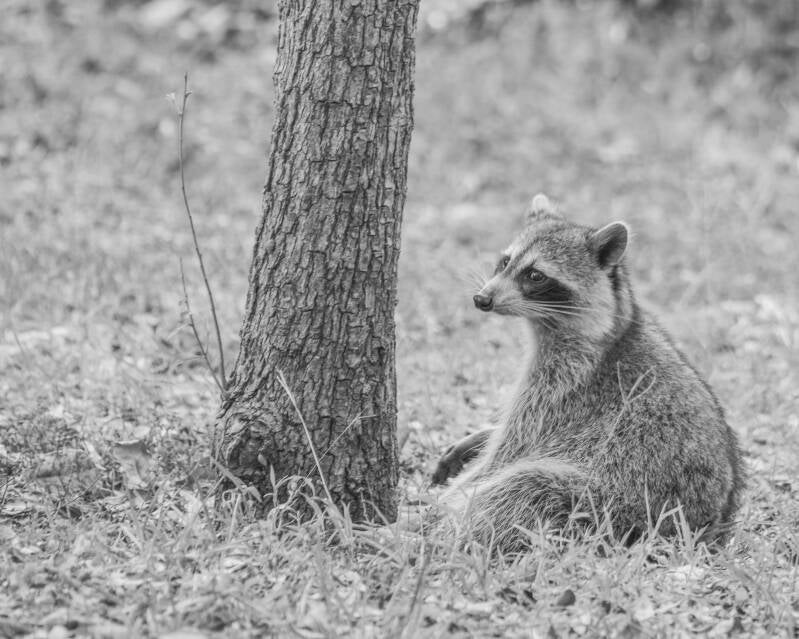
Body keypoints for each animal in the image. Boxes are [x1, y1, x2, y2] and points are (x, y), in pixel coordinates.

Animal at [433, 194, 744, 551]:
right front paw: (481, 437)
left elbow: (507, 452)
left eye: (535, 275)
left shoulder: (564, 386)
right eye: (505, 261)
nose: (482, 298)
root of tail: (711, 529)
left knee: (526, 486)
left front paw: (446, 503)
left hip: (611, 506)